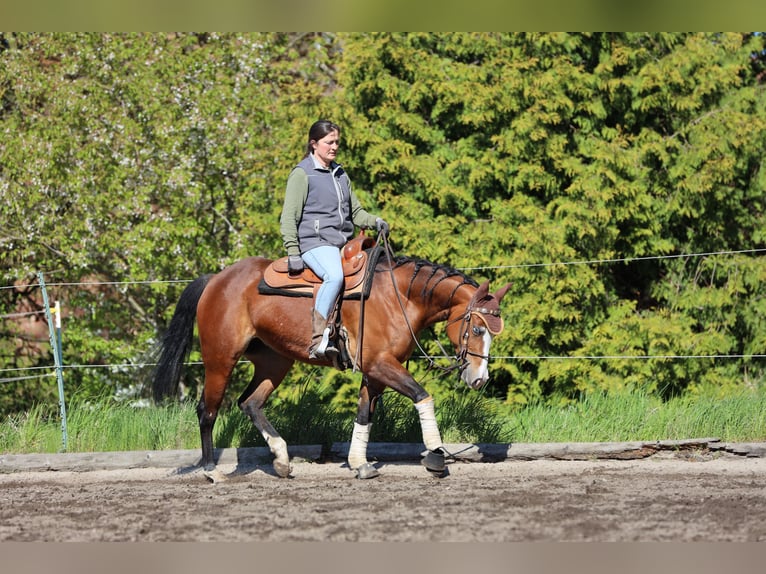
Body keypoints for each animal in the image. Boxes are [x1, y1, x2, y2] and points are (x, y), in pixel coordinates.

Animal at [152, 241, 511, 480]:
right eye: (477, 328)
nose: (480, 379)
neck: (399, 297)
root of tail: (216, 279)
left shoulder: (375, 373)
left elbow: (364, 416)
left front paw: (359, 463)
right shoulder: (380, 365)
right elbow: (423, 397)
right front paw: (436, 457)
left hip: (274, 362)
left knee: (250, 403)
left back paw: (281, 460)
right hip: (220, 359)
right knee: (207, 410)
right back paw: (211, 470)